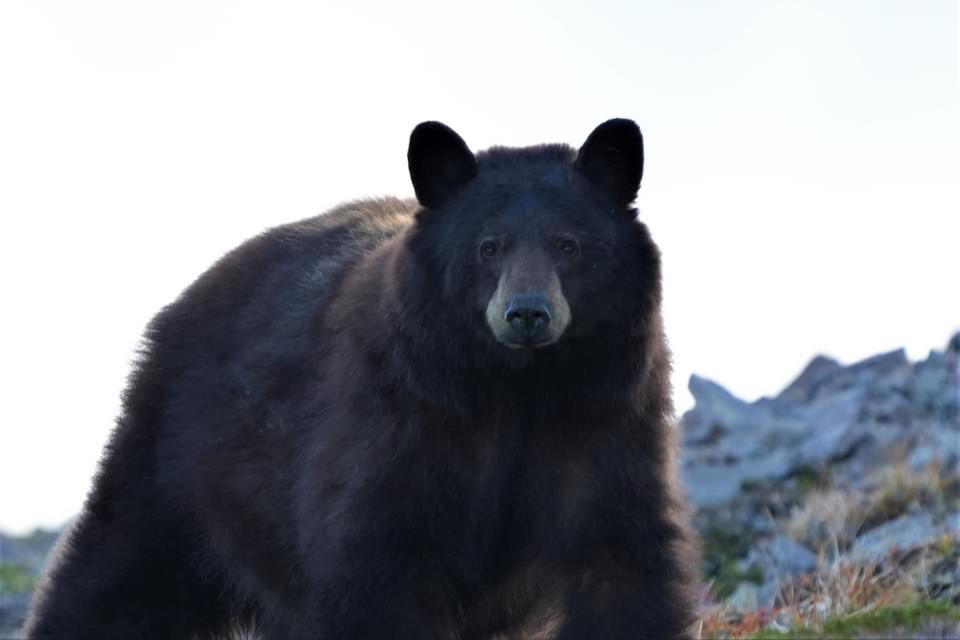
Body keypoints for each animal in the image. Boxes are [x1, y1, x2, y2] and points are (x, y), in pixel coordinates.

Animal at [24, 119, 701, 639]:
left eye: (569, 244)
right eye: (488, 246)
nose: (527, 313)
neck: (513, 389)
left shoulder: (604, 418)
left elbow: (621, 557)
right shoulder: (401, 419)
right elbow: (378, 561)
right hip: (178, 456)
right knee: (120, 566)